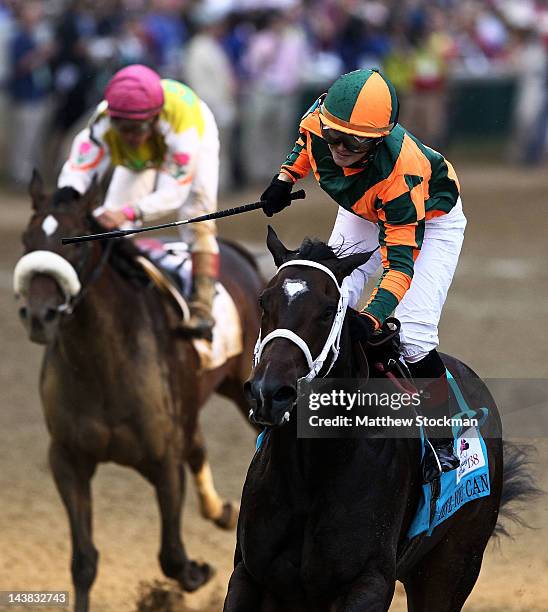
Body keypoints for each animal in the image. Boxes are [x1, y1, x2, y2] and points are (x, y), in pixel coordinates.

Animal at [12, 172, 262, 612]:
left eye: (77, 243)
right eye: (28, 239)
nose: (40, 316)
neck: (103, 364)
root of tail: (241, 255)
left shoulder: (163, 460)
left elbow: (172, 554)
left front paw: (197, 573)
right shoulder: (68, 458)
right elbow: (84, 560)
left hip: (244, 384)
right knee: (197, 445)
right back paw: (223, 511)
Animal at [225, 226, 536, 612]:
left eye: (327, 311)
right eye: (263, 301)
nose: (269, 392)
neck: (311, 473)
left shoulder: (368, 583)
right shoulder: (250, 576)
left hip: (451, 566)